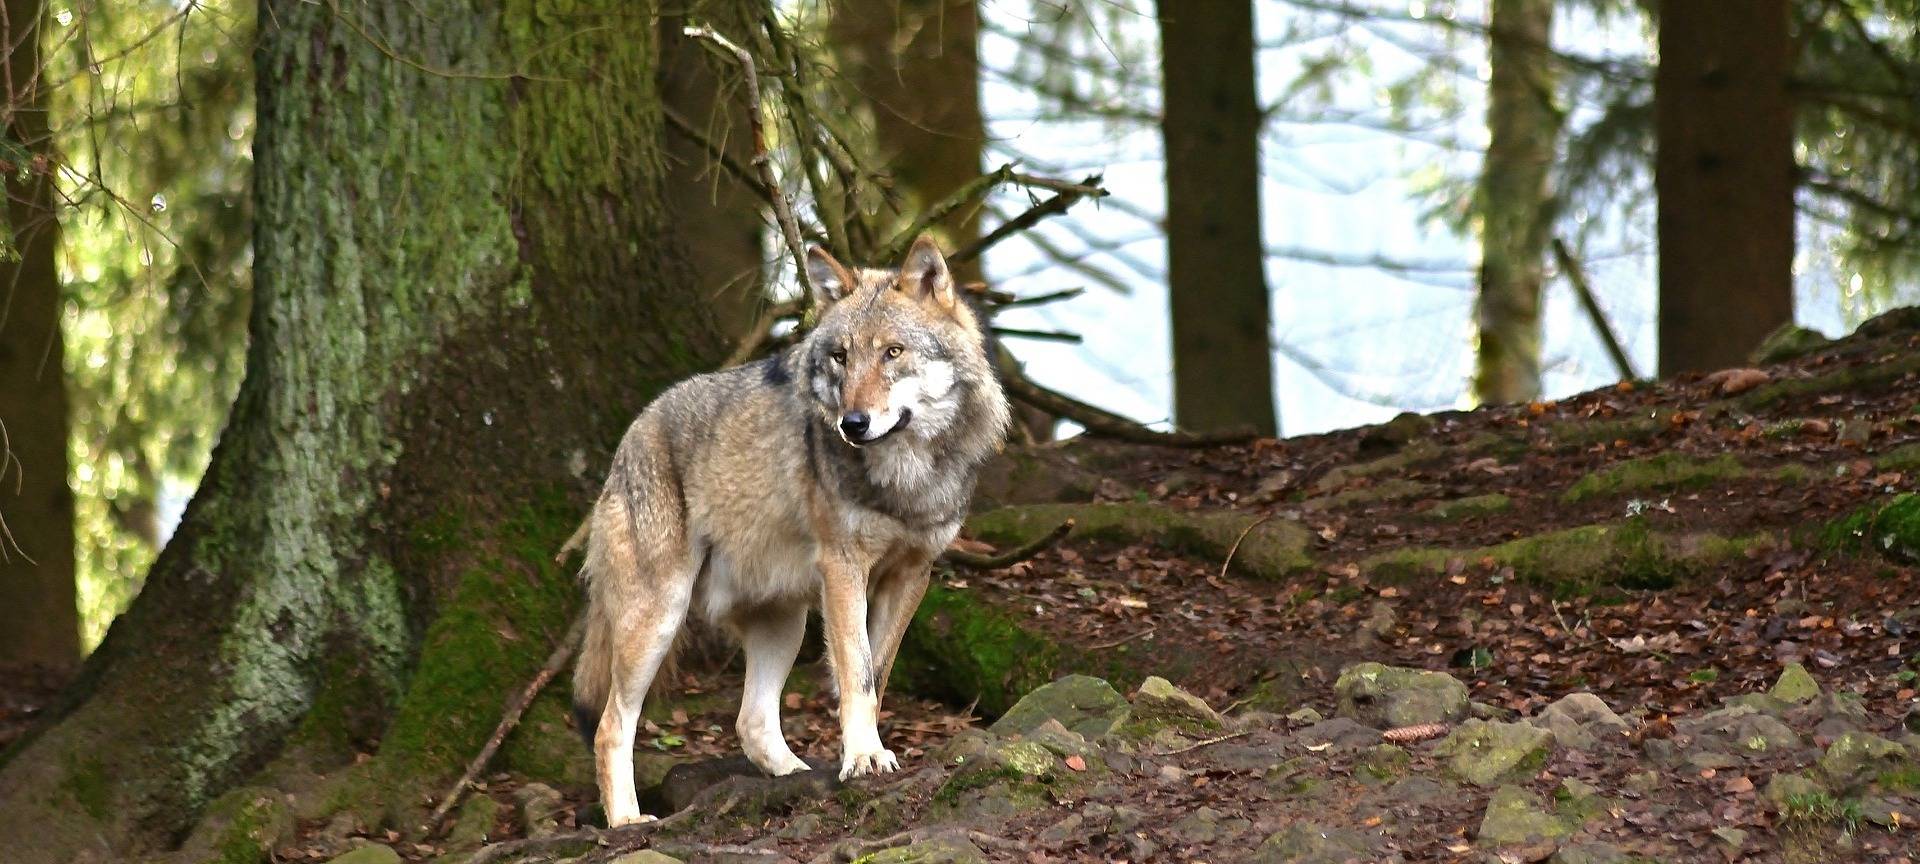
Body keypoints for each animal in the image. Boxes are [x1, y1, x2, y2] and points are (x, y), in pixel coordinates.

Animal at [569, 235, 1011, 826]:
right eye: (841, 357)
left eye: (893, 352)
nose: (853, 424)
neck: (906, 476)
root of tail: (632, 434)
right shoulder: (844, 568)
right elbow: (855, 672)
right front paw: (864, 757)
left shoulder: (912, 574)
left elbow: (875, 676)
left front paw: (863, 753)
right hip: (659, 617)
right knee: (610, 726)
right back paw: (627, 820)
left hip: (785, 622)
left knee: (751, 723)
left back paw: (796, 777)